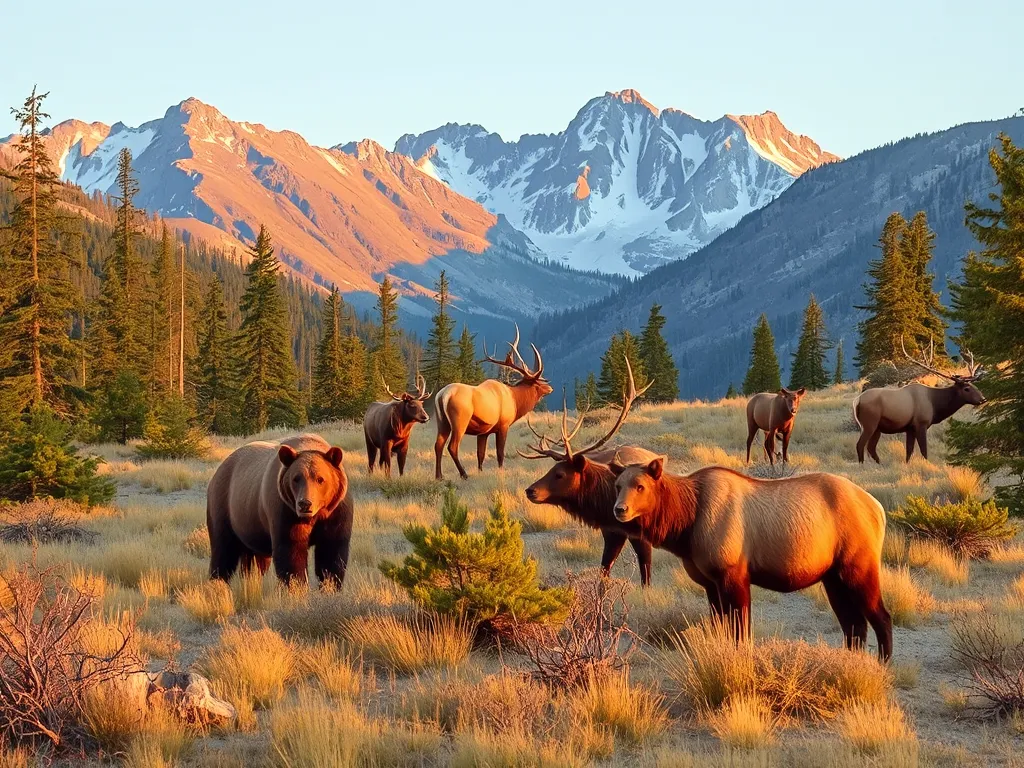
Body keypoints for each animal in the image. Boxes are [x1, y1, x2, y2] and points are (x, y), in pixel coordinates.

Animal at [206, 433, 352, 587]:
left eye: (320, 479)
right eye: (296, 478)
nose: (305, 504)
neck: (316, 516)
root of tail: (220, 467)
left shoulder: (336, 513)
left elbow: (331, 554)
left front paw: (330, 585)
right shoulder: (286, 512)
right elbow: (291, 553)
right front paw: (296, 585)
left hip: (251, 525)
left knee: (253, 561)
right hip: (224, 506)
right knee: (223, 550)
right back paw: (217, 582)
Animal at [434, 325, 553, 480]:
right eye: (538, 383)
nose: (550, 387)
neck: (516, 402)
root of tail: (443, 395)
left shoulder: (483, 432)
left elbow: (481, 454)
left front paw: (480, 471)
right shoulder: (503, 425)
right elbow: (500, 453)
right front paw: (501, 471)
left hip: (442, 422)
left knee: (438, 445)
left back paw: (439, 476)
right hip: (459, 421)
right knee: (452, 447)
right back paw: (463, 474)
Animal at [521, 358, 657, 585]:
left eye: (560, 474)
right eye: (551, 468)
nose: (530, 491)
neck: (606, 500)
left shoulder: (640, 534)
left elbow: (645, 577)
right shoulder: (611, 532)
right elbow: (603, 574)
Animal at [610, 458, 893, 660]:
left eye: (640, 486)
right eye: (618, 485)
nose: (619, 509)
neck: (685, 525)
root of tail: (879, 510)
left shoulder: (734, 575)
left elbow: (741, 632)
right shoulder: (711, 583)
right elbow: (721, 627)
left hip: (859, 568)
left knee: (881, 617)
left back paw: (883, 664)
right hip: (833, 578)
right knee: (854, 624)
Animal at [854, 338, 986, 464]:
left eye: (974, 386)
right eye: (966, 388)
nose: (983, 399)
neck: (935, 405)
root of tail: (857, 401)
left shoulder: (910, 428)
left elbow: (909, 451)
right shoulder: (921, 423)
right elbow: (924, 451)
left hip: (877, 428)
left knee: (871, 448)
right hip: (869, 423)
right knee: (860, 445)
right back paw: (862, 465)